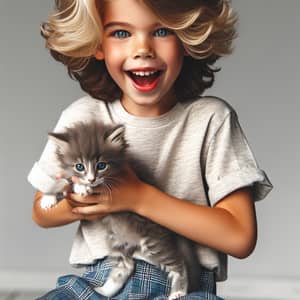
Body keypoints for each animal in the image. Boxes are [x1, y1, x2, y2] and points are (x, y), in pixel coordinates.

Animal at [42, 120, 202, 300]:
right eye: (79, 166)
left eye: (101, 165)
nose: (91, 179)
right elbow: (64, 180)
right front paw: (48, 198)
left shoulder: (117, 181)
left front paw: (81, 187)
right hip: (116, 241)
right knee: (126, 266)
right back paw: (102, 291)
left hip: (152, 242)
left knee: (178, 262)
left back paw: (178, 292)